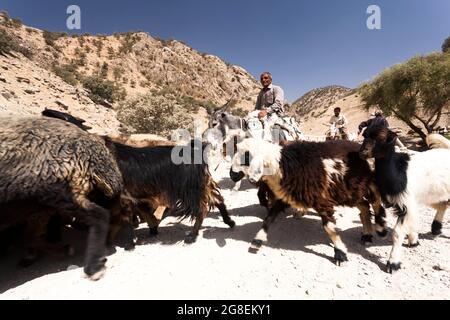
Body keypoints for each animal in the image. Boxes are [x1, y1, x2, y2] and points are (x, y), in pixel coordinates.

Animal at [232, 138, 386, 264]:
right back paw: (367, 235)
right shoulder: (286, 196)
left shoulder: (322, 200)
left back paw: (381, 229)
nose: (232, 175)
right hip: (350, 191)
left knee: (376, 203)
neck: (283, 167)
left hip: (369, 185)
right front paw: (257, 241)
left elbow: (329, 228)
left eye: (246, 156)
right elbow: (268, 218)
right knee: (364, 206)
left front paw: (340, 253)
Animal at [360, 125, 450, 272]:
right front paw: (413, 240)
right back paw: (436, 228)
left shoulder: (406, 202)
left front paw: (393, 263)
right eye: (364, 135)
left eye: (381, 137)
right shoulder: (403, 200)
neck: (398, 172)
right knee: (442, 205)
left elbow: (397, 232)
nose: (362, 152)